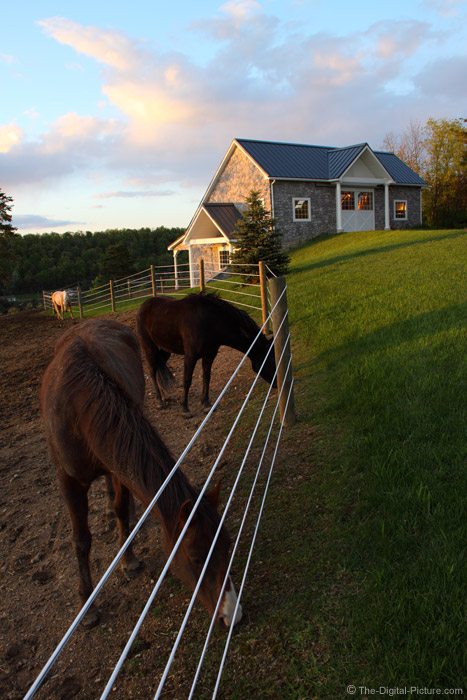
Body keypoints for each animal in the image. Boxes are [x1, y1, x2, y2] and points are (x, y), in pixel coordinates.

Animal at [40, 318, 243, 628]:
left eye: (228, 545)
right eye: (196, 558)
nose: (232, 615)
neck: (78, 410)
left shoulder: (117, 464)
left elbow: (121, 509)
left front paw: (128, 559)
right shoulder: (67, 479)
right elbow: (81, 540)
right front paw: (87, 605)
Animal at [138, 292, 278, 416]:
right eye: (271, 360)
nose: (277, 384)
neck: (209, 322)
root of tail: (144, 305)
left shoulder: (209, 355)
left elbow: (206, 377)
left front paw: (206, 404)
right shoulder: (190, 356)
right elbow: (187, 380)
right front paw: (185, 409)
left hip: (165, 351)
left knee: (158, 368)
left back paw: (164, 396)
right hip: (149, 349)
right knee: (152, 371)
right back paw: (159, 401)